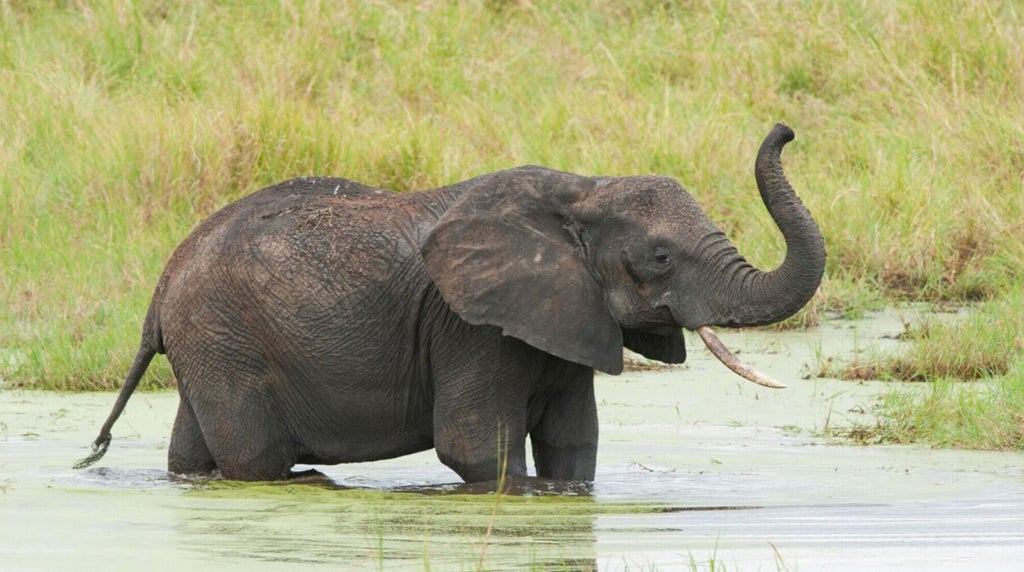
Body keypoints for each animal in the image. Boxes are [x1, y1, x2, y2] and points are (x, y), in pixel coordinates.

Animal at [74, 124, 823, 482]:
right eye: (661, 258)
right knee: (257, 461)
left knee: (191, 455)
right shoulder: (470, 326)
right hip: (225, 339)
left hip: (208, 344)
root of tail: (163, 283)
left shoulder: (563, 314)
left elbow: (572, 445)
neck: (583, 188)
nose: (786, 130)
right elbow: (476, 448)